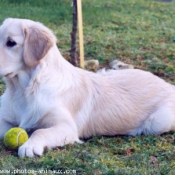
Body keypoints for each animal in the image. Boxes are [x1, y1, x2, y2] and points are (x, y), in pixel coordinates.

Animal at [0, 18, 175, 157]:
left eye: (11, 43)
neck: (22, 89)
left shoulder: (67, 127)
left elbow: (40, 131)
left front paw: (30, 145)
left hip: (158, 122)